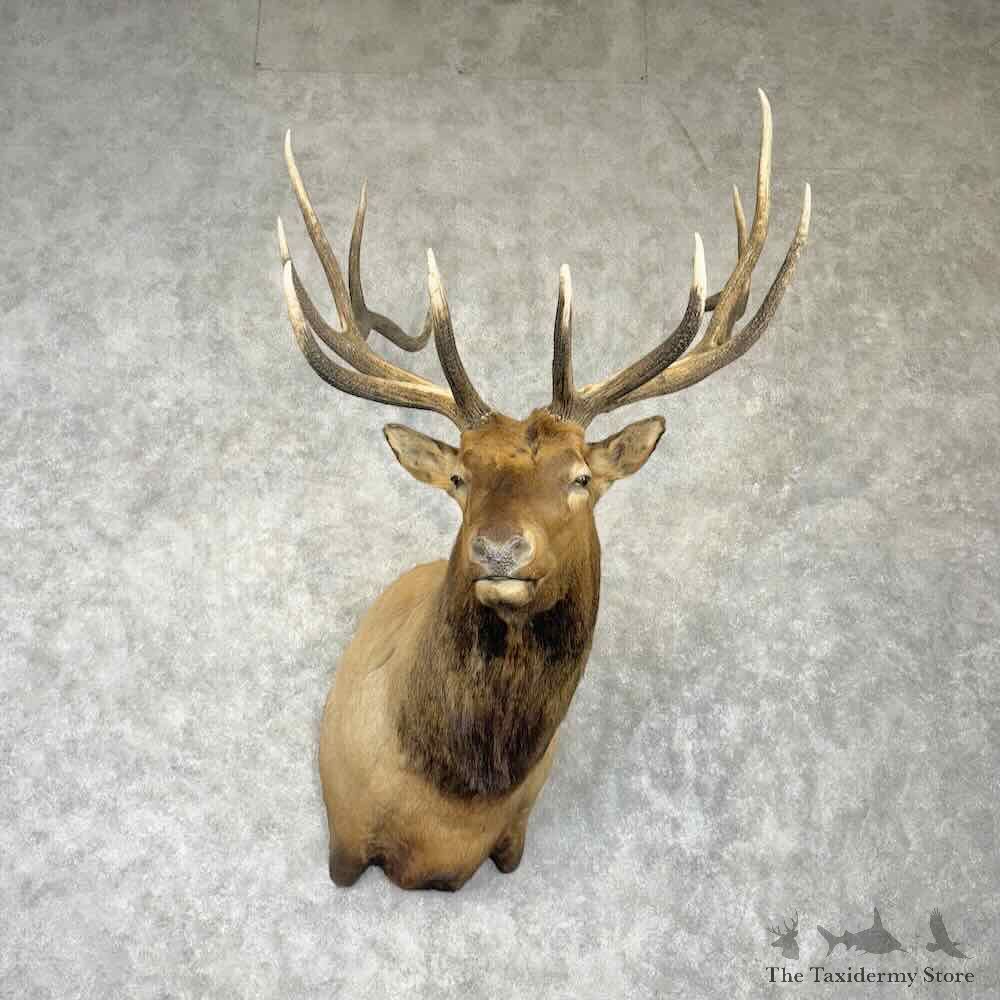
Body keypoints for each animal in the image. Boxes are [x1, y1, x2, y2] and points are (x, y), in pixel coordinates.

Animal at [277, 90, 810, 891]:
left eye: (581, 478)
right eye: (460, 477)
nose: (498, 549)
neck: (445, 813)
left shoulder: (513, 837)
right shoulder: (342, 838)